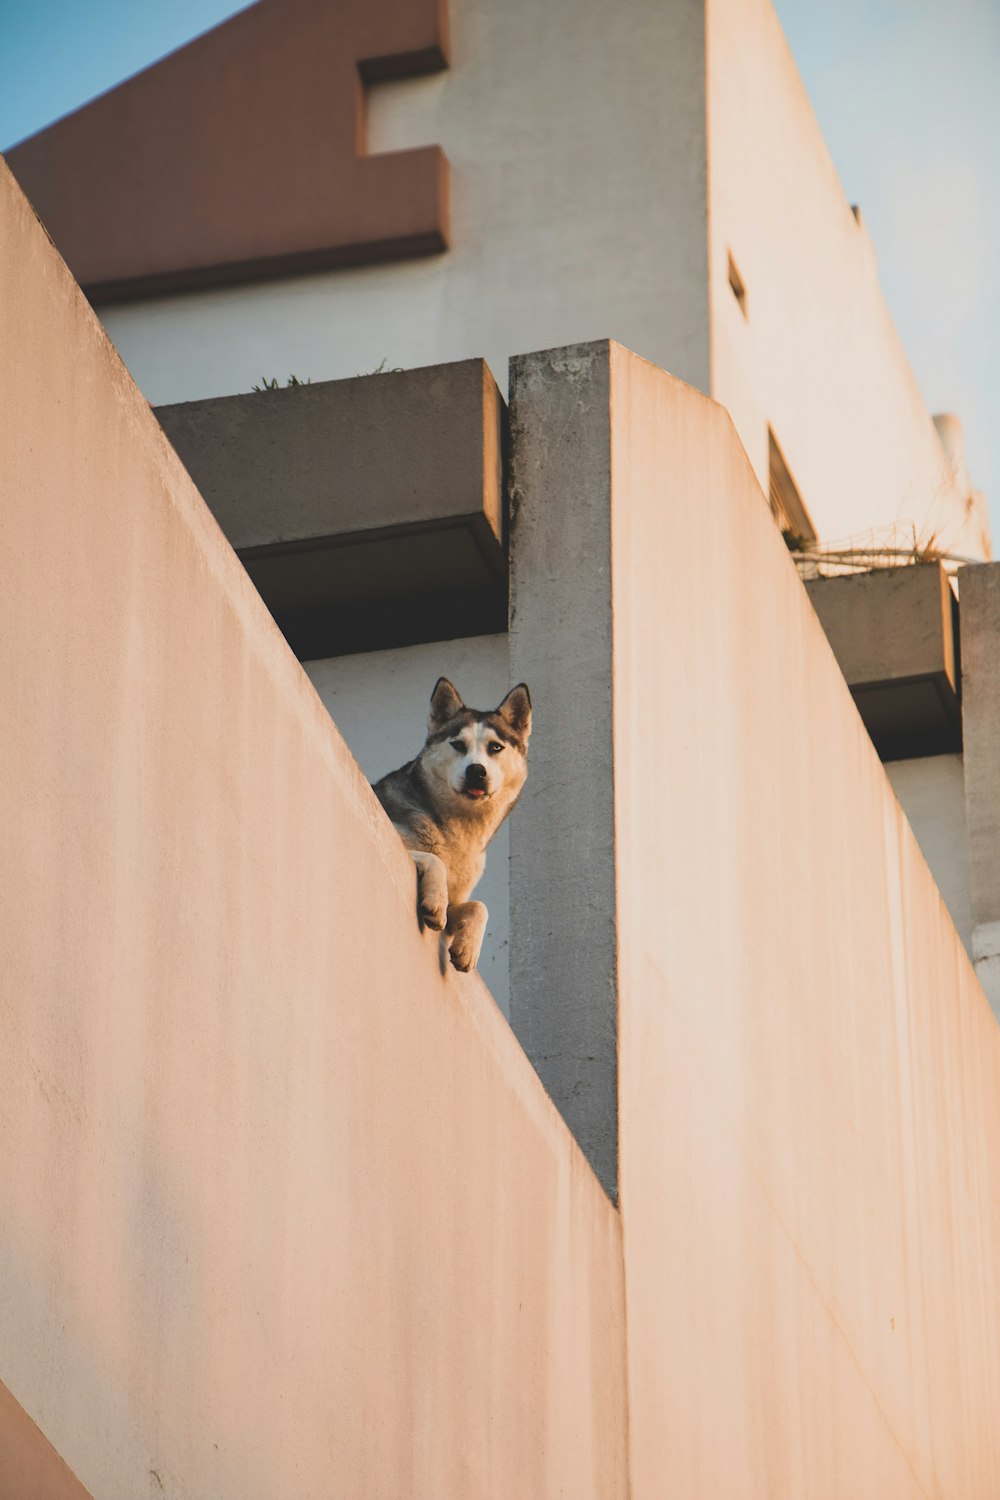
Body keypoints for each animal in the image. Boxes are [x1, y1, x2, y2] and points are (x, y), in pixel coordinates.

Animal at [373, 678, 530, 972]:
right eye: (458, 745)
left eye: (495, 747)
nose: (476, 771)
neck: (459, 830)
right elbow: (436, 860)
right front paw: (436, 899)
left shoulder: (459, 900)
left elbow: (479, 906)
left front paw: (468, 948)